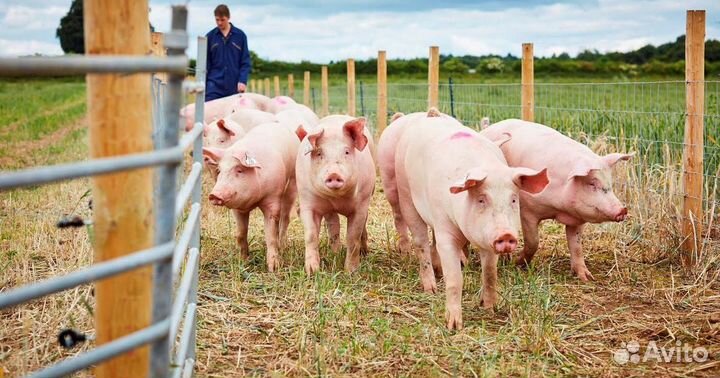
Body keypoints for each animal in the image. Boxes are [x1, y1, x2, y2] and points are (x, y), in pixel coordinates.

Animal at [201, 122, 300, 272]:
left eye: (239, 170)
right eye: (219, 171)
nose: (214, 195)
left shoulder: (272, 199)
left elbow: (270, 235)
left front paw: (273, 268)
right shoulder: (237, 208)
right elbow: (240, 233)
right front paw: (243, 261)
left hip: (292, 183)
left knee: (285, 217)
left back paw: (283, 246)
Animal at [296, 113, 376, 274]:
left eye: (346, 152)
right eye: (319, 153)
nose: (334, 174)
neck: (336, 199)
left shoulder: (361, 204)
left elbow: (353, 237)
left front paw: (351, 272)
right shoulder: (307, 201)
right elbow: (311, 235)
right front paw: (312, 271)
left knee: (362, 225)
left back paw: (364, 252)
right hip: (328, 210)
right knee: (334, 225)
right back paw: (335, 252)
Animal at [380, 108, 548, 328]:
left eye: (513, 199)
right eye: (481, 199)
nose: (506, 235)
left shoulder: (487, 239)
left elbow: (490, 273)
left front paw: (488, 308)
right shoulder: (445, 230)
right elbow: (455, 279)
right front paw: (453, 325)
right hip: (405, 194)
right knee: (420, 242)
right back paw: (431, 288)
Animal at [480, 119, 632, 282]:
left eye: (610, 184)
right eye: (592, 184)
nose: (623, 210)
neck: (559, 209)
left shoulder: (577, 220)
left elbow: (576, 246)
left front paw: (586, 278)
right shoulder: (528, 210)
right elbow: (533, 242)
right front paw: (518, 264)